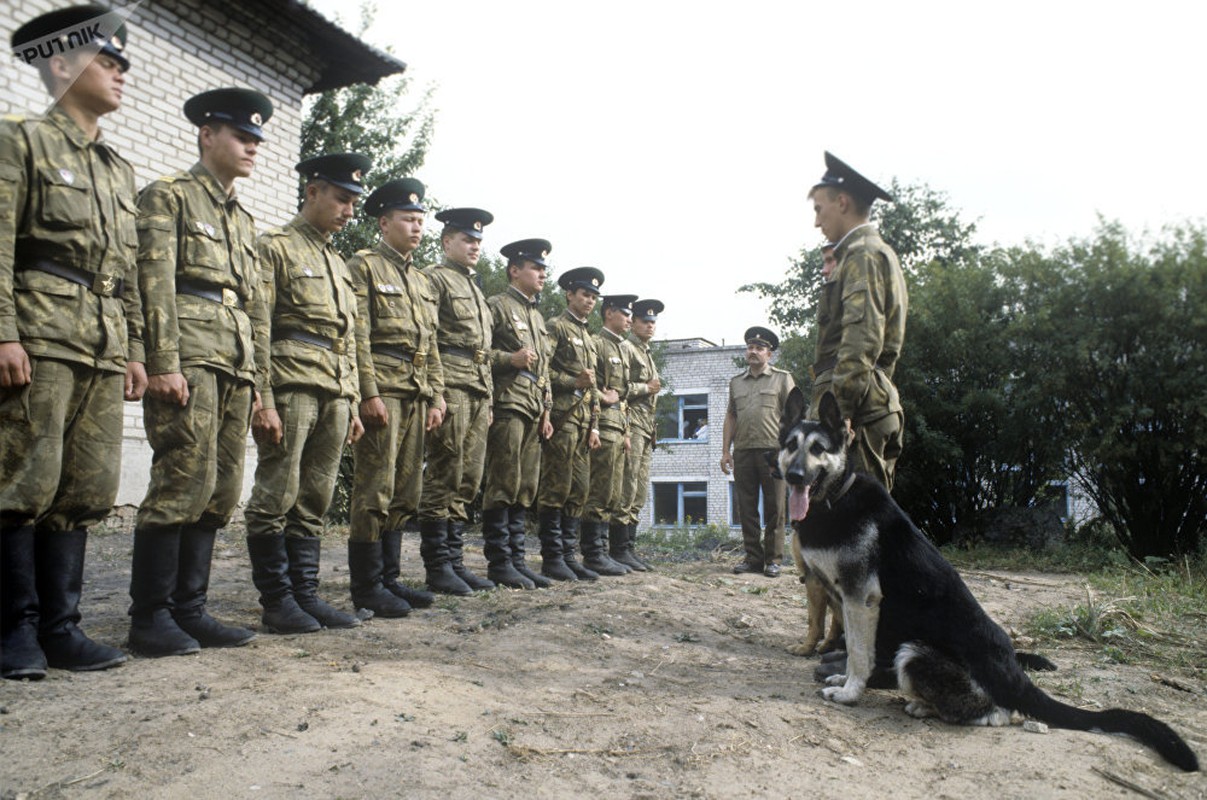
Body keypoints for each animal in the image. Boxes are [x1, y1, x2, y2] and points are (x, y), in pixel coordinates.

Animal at [772, 390, 1197, 772]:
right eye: (791, 445)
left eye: (818, 448)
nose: (793, 475)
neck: (835, 497)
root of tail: (1014, 676)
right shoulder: (840, 596)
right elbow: (851, 645)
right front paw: (843, 675)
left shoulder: (861, 598)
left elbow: (861, 652)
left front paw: (849, 692)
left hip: (912, 654)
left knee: (1000, 713)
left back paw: (930, 706)